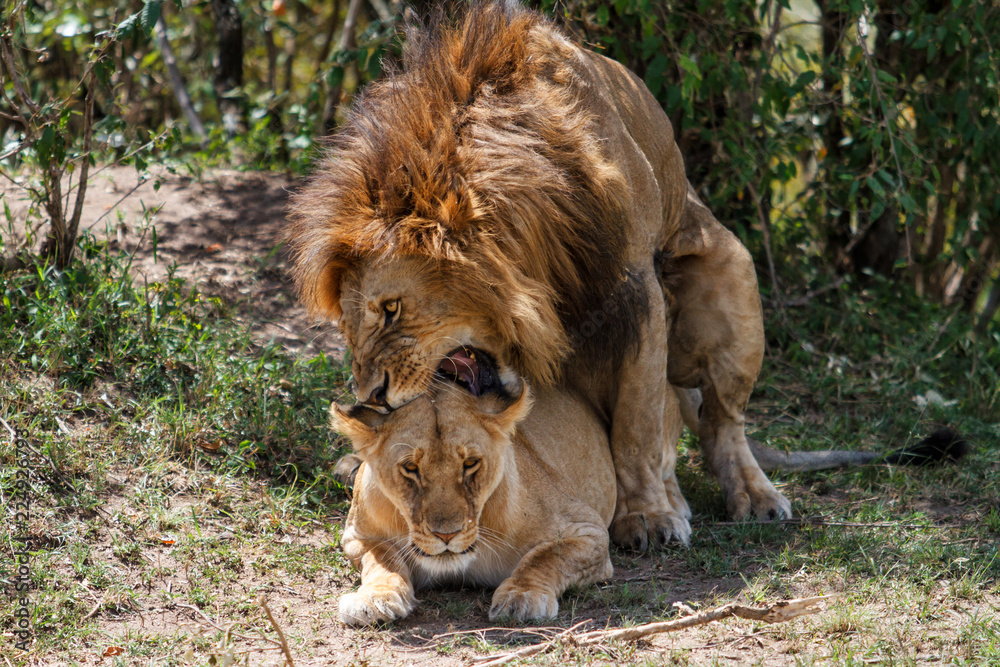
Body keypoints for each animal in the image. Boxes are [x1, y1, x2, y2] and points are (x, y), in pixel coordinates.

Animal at [288, 0, 789, 550]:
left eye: (392, 308)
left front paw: (648, 515)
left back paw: (751, 496)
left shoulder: (636, 290)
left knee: (722, 422)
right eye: (347, 328)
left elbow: (637, 425)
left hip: (732, 278)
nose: (371, 396)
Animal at [330, 367, 688, 625]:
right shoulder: (358, 535)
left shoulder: (589, 531)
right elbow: (383, 559)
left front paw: (522, 597)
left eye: (470, 464)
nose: (447, 534)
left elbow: (546, 557)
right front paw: (374, 599)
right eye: (410, 468)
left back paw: (670, 518)